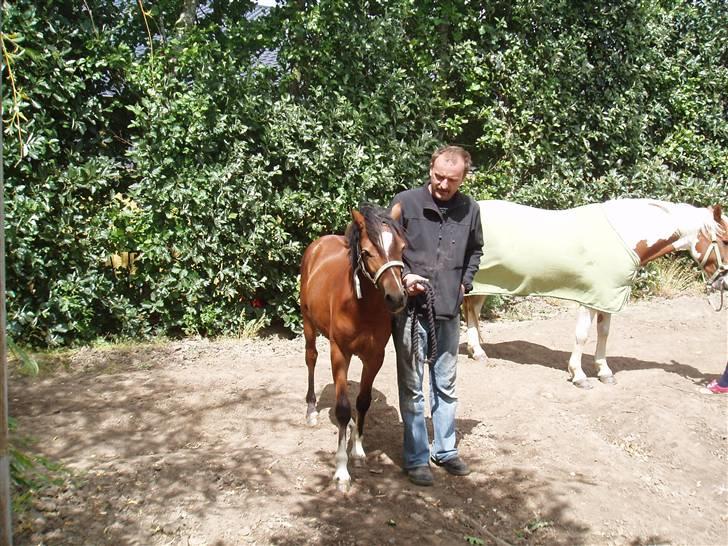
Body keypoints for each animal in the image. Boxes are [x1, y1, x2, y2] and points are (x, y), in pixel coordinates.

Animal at [298, 204, 406, 488]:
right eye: (367, 252)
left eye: (402, 248)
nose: (397, 297)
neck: (361, 307)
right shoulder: (340, 353)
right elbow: (344, 409)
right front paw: (341, 470)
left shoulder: (375, 356)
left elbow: (363, 402)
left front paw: (357, 451)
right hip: (308, 323)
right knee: (311, 358)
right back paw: (311, 411)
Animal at [466, 199, 728, 386]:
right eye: (725, 240)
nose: (724, 283)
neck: (624, 237)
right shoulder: (590, 297)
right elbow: (582, 335)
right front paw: (579, 375)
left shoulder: (608, 296)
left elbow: (604, 333)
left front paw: (604, 372)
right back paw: (477, 351)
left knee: (473, 311)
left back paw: (476, 351)